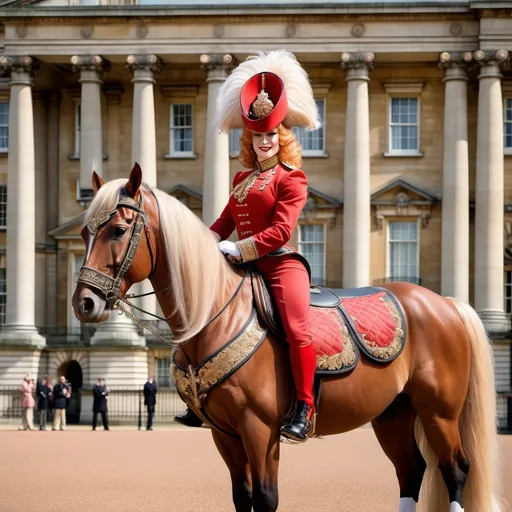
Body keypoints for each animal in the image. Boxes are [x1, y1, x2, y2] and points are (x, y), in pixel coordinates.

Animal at [73, 164, 504, 512]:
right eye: (83, 232)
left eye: (118, 230)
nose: (84, 303)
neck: (216, 316)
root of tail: (445, 302)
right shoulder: (223, 433)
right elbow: (243, 496)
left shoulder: (260, 428)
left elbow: (266, 498)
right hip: (392, 413)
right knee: (410, 471)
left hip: (439, 412)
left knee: (455, 470)